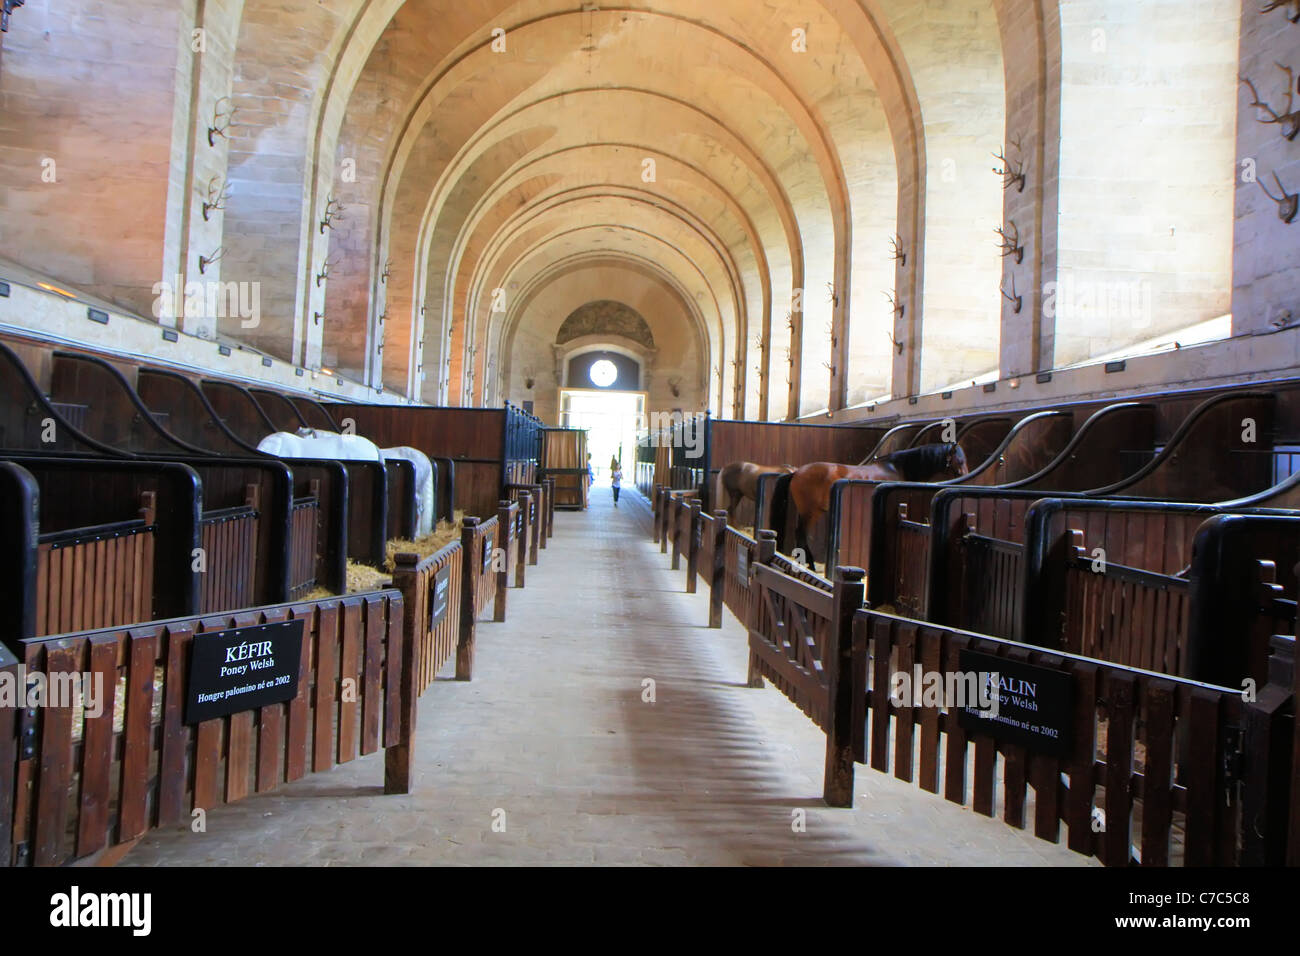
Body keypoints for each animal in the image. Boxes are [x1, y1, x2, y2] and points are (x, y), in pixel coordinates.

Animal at [785, 444, 972, 572]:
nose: (966, 476)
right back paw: (809, 565)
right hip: (811, 512)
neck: (899, 467)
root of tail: (797, 472)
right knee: (801, 534)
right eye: (960, 460)